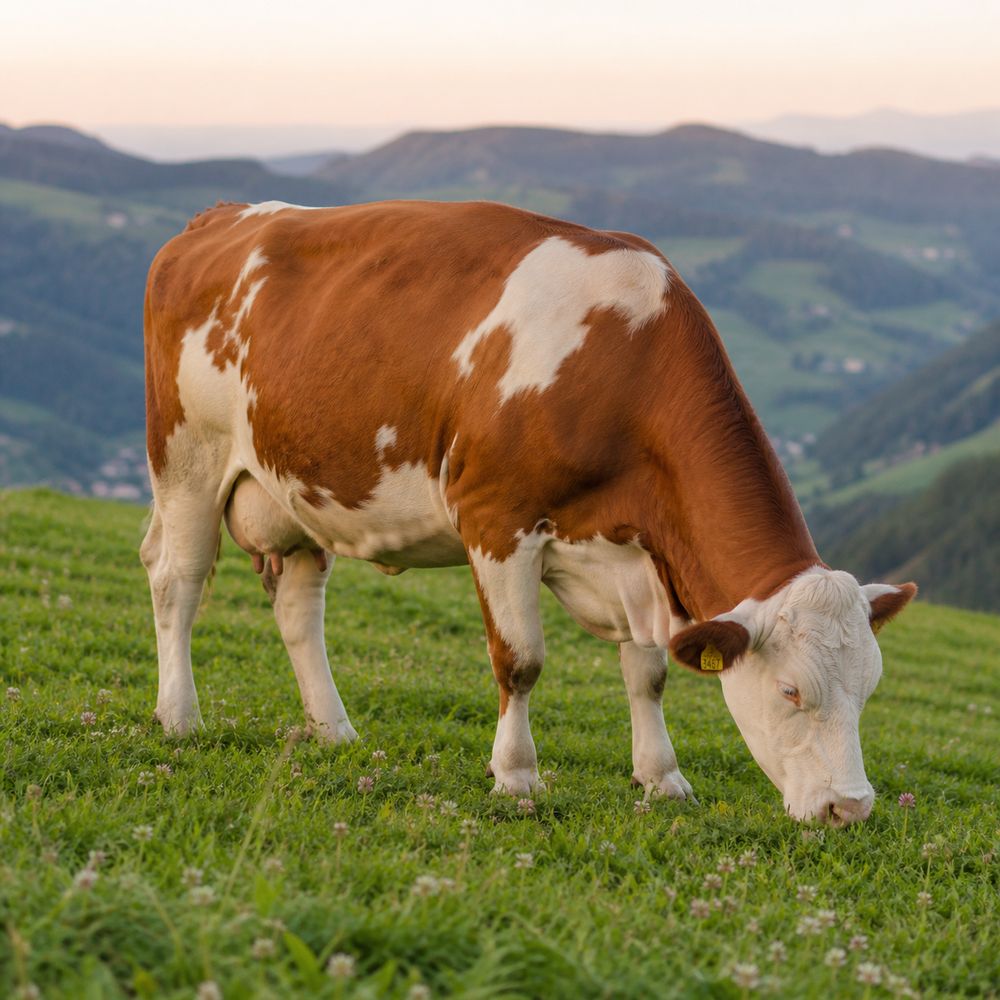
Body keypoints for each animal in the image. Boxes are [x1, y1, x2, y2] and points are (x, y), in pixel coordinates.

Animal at [141, 199, 916, 826]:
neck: (624, 367)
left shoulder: (635, 552)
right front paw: (516, 777)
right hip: (186, 457)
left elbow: (649, 673)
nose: (850, 808)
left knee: (299, 607)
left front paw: (662, 778)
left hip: (297, 491)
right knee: (177, 580)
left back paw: (333, 729)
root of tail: (218, 218)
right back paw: (180, 716)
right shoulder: (497, 520)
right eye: (790, 691)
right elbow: (520, 661)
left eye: (869, 689)